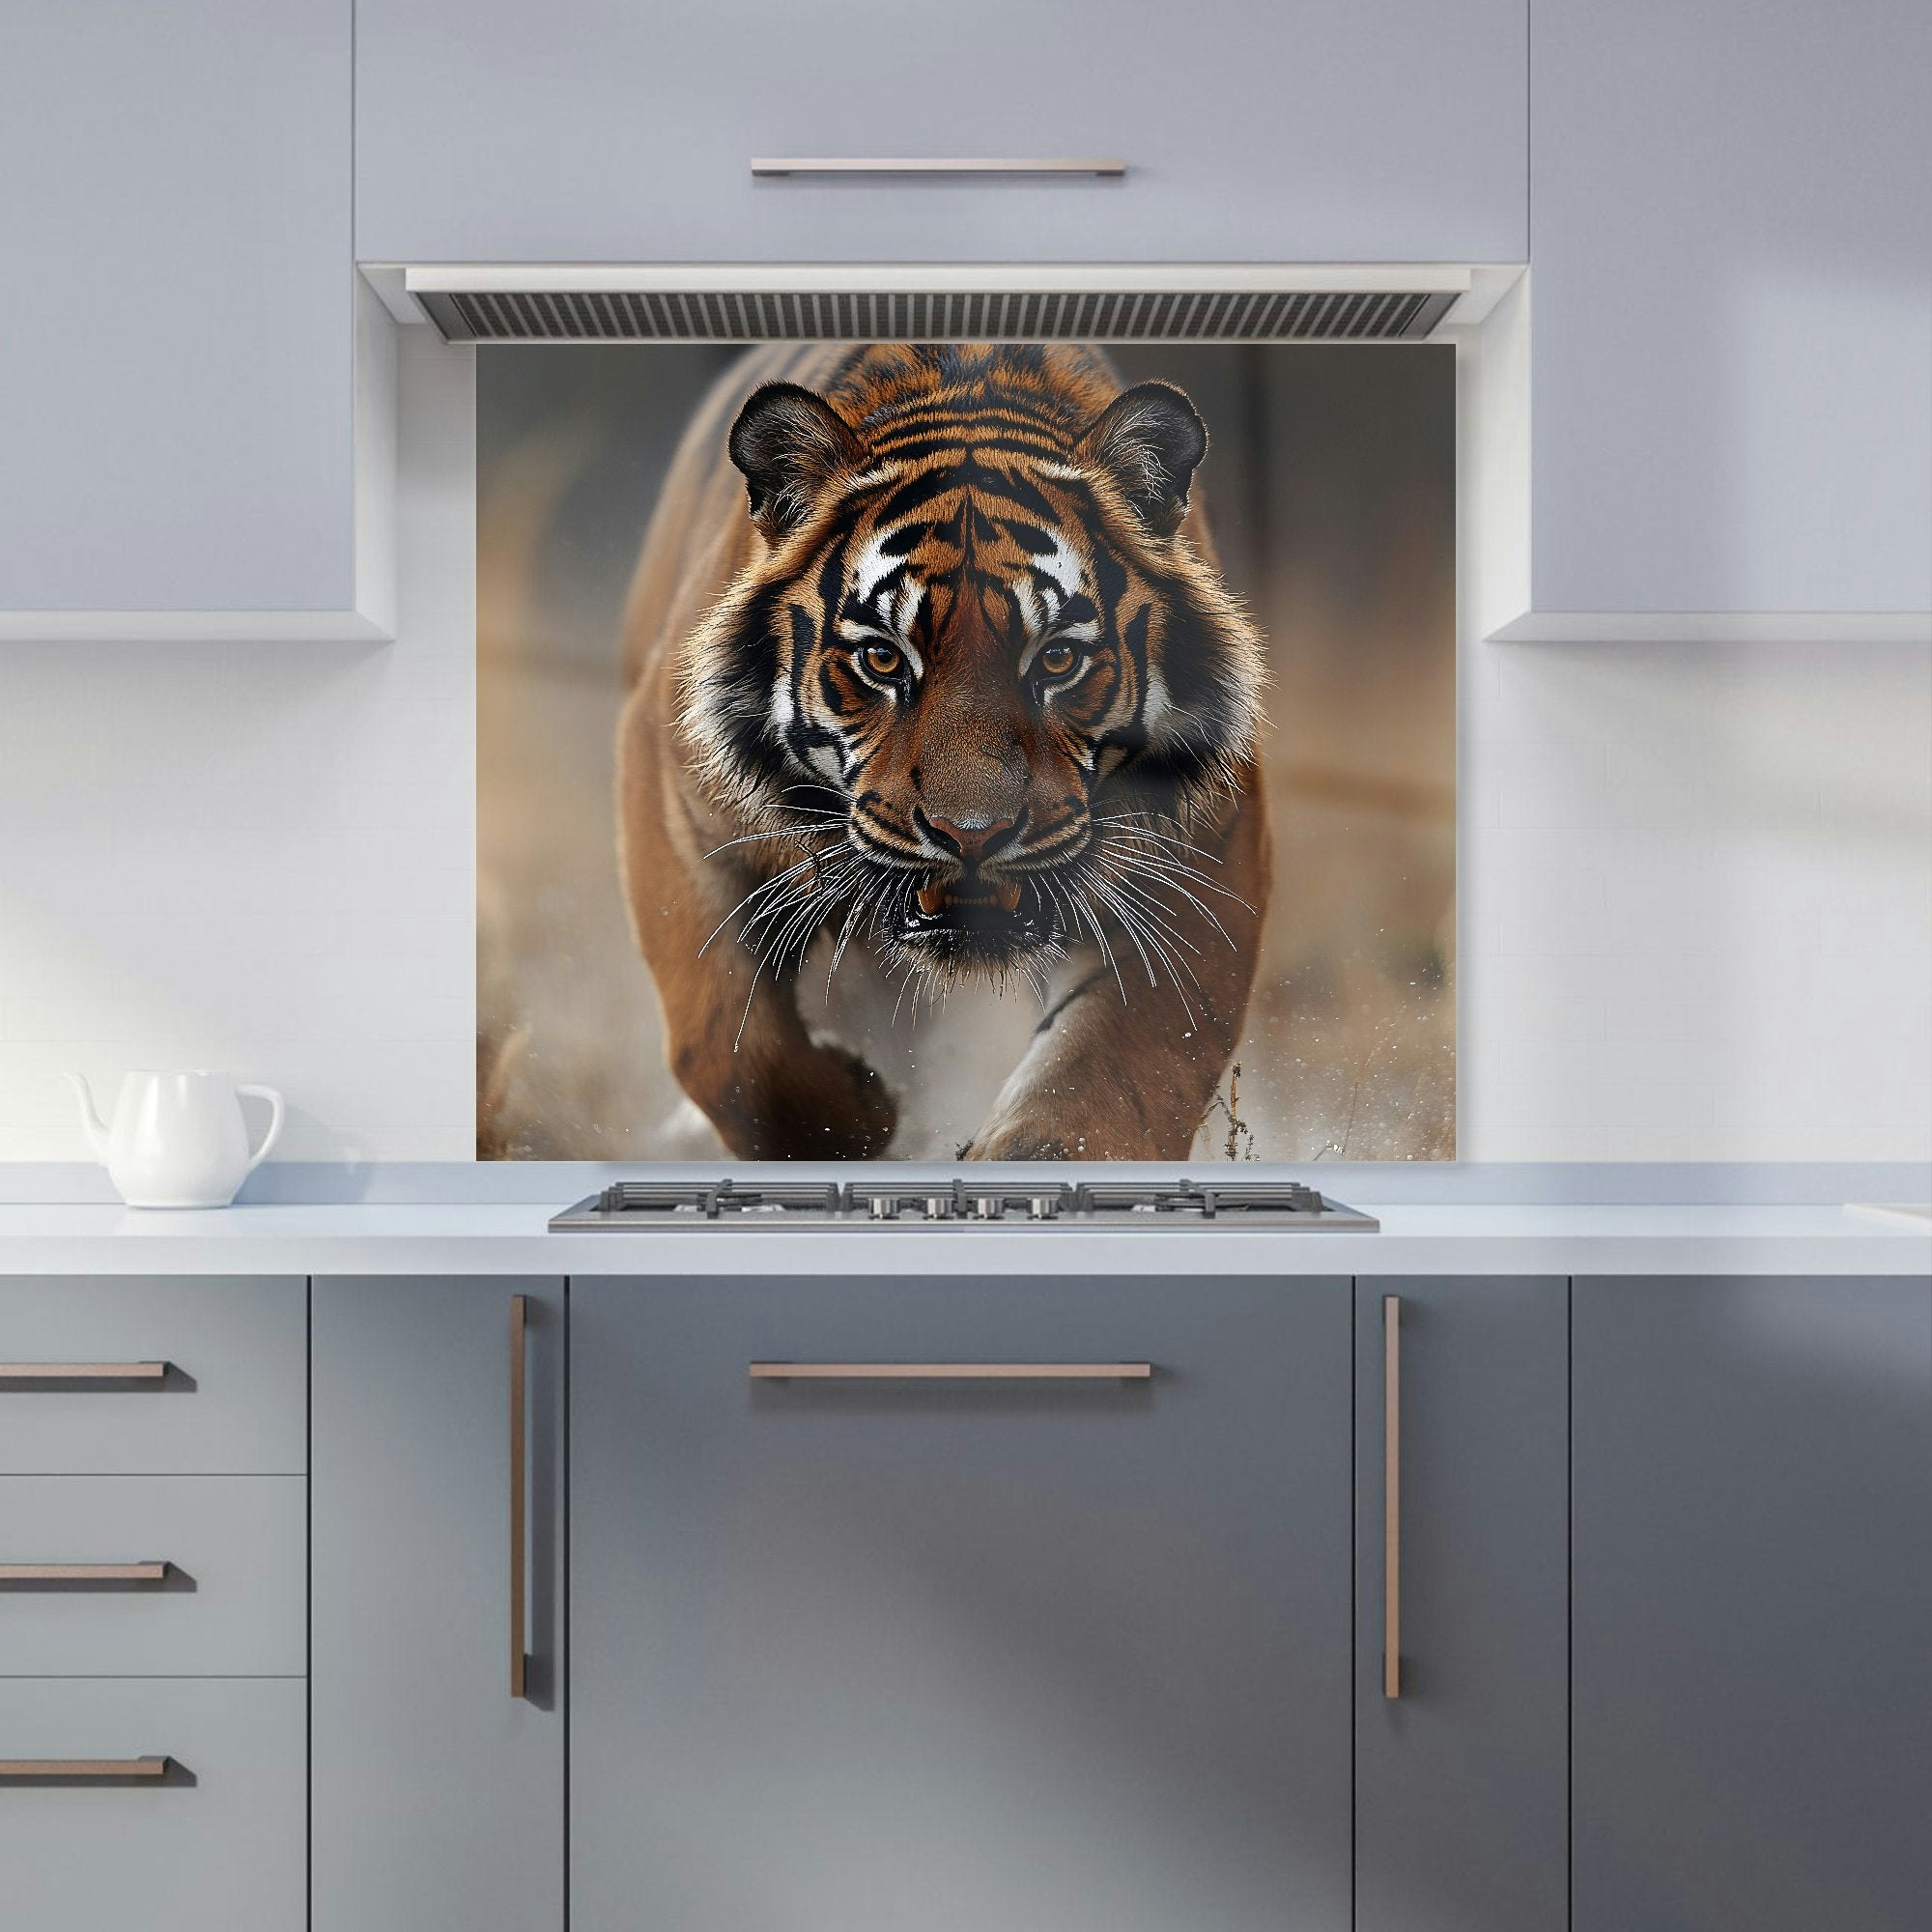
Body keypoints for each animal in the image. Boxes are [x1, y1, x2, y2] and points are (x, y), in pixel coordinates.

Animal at [616, 341, 1272, 1160]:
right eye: (883, 659)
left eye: (1057, 659)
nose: (973, 835)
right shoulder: (678, 802)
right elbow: (731, 1050)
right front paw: (862, 1117)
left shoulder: (1203, 849)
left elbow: (1111, 1078)